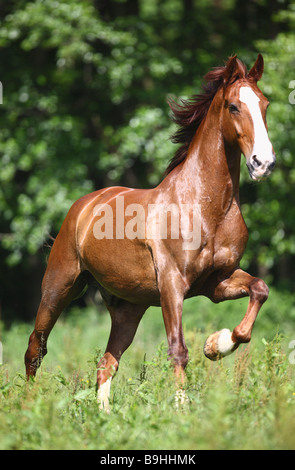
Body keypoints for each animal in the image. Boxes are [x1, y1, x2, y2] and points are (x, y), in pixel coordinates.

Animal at [25, 55, 278, 412]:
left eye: (265, 104)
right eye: (233, 106)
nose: (263, 163)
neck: (206, 205)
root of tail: (84, 206)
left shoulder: (217, 282)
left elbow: (259, 291)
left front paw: (215, 345)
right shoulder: (173, 285)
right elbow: (178, 350)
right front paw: (182, 410)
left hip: (128, 308)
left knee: (106, 363)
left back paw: (104, 416)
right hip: (59, 286)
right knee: (36, 347)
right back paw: (27, 406)